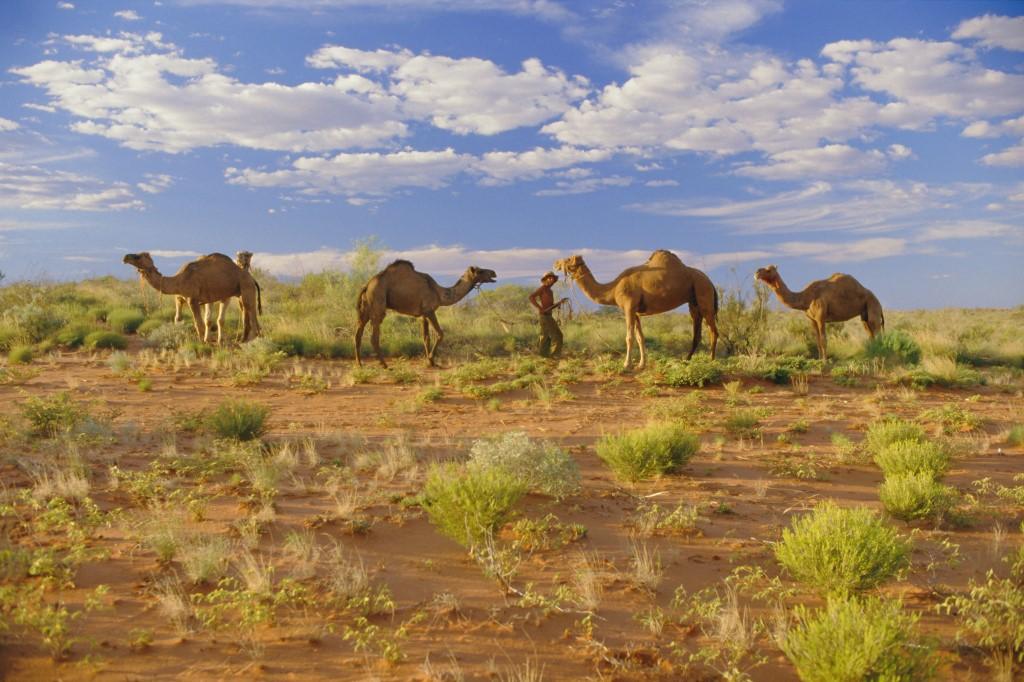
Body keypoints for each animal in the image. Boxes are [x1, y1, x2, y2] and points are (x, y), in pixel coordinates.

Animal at [124, 249, 262, 342]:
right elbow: (177, 319)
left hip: (246, 288)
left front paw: (201, 343)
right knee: (247, 311)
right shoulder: (180, 298)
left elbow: (198, 323)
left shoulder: (193, 300)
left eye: (138, 256)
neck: (178, 279)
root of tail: (252, 278)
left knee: (251, 311)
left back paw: (253, 340)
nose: (125, 257)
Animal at [352, 259, 495, 366]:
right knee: (374, 336)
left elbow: (426, 338)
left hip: (365, 308)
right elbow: (440, 334)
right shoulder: (429, 310)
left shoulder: (422, 315)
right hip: (378, 300)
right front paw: (431, 358)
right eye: (480, 271)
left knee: (358, 334)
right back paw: (384, 365)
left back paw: (359, 364)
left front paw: (430, 362)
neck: (439, 293)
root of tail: (367, 285)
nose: (493, 272)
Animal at [557, 248, 716, 366]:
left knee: (713, 331)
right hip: (693, 303)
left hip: (704, 294)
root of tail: (710, 281)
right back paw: (687, 360)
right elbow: (640, 337)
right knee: (698, 333)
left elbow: (629, 337)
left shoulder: (629, 306)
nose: (555, 263)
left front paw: (626, 364)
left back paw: (711, 361)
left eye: (568, 259)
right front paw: (641, 364)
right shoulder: (636, 312)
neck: (613, 289)